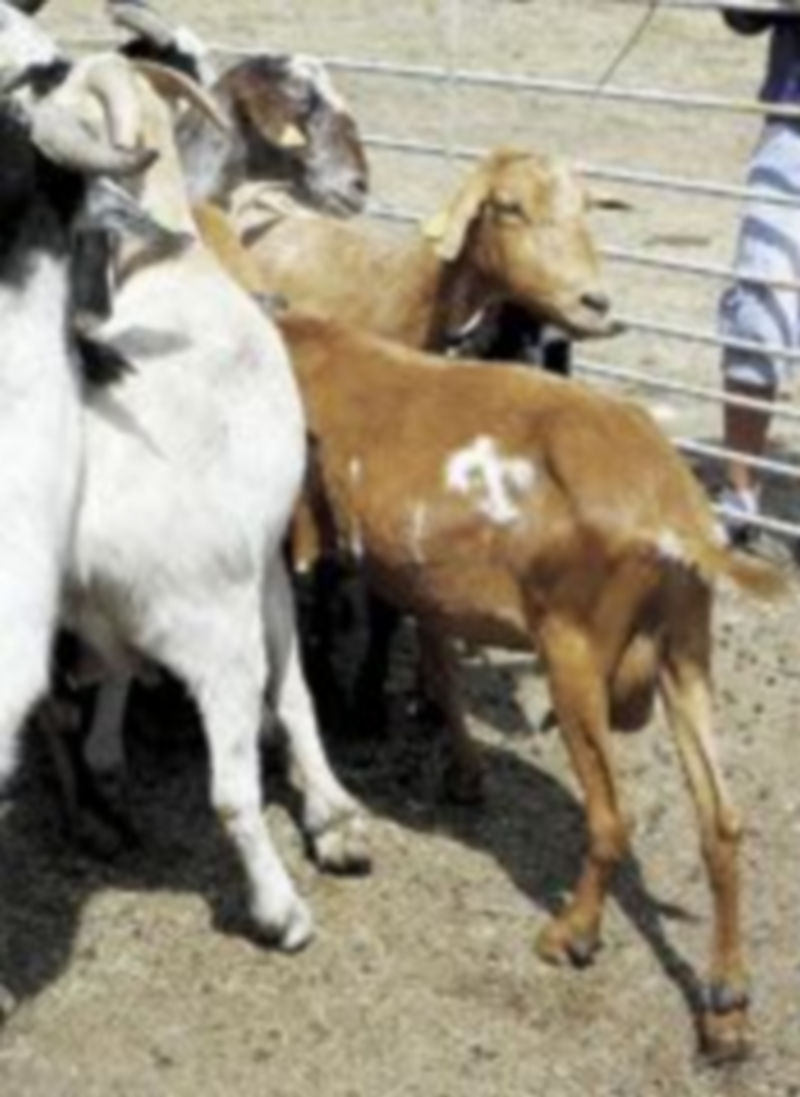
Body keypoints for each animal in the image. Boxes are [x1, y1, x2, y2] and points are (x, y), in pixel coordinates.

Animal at [276, 306, 784, 1062]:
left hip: (574, 648)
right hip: (687, 649)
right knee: (721, 821)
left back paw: (571, 935)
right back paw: (727, 1010)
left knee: (611, 818)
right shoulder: (431, 585)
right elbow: (442, 668)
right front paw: (462, 775)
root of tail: (671, 503)